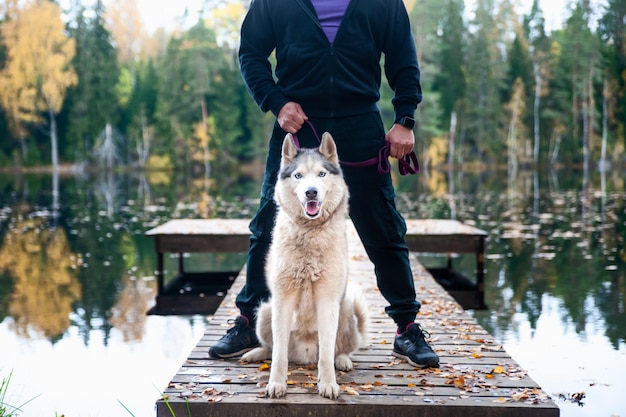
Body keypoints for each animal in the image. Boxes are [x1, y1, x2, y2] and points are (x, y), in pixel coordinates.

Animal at [239, 132, 366, 398]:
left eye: (321, 174)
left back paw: (343, 360)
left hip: (346, 308)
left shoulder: (328, 300)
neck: (309, 234)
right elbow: (278, 354)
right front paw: (276, 383)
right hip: (266, 309)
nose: (311, 192)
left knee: (338, 350)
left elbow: (326, 353)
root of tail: (304, 355)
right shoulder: (283, 300)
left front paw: (328, 383)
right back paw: (255, 353)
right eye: (298, 175)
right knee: (273, 348)